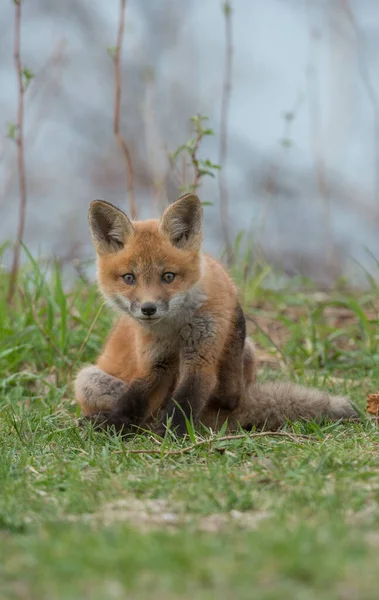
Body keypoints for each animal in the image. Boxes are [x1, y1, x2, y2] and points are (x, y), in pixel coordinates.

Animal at [75, 195, 360, 434]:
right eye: (129, 278)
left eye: (168, 276)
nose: (148, 309)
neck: (175, 327)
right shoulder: (154, 362)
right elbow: (134, 398)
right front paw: (114, 424)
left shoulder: (201, 357)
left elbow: (185, 401)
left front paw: (170, 434)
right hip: (87, 381)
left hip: (246, 349)